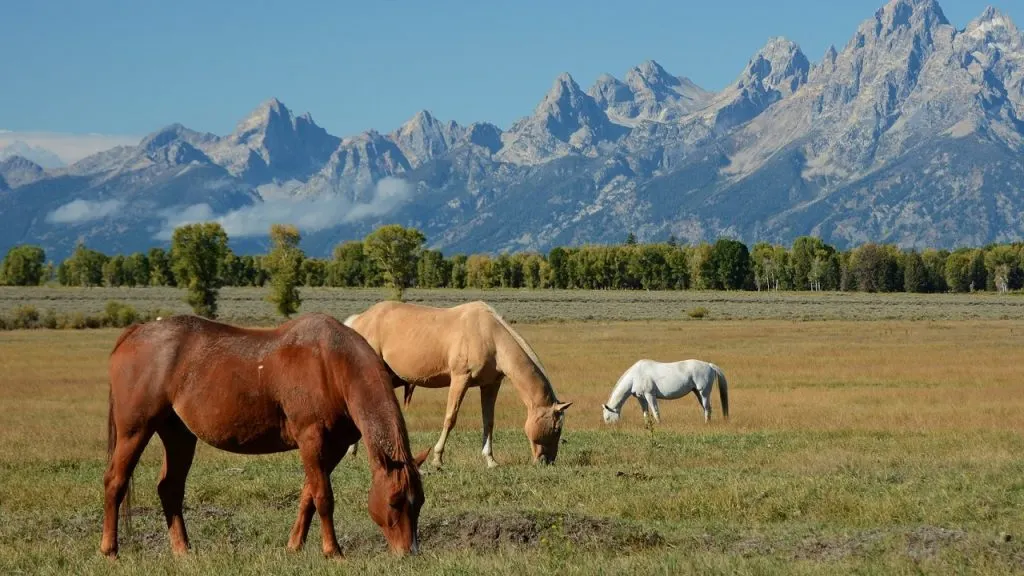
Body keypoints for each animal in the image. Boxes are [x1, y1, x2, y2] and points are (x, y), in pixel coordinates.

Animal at [99, 311, 428, 557]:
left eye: (420, 501)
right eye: (394, 501)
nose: (408, 552)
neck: (332, 365)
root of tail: (136, 331)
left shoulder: (333, 447)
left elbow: (308, 495)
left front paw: (295, 546)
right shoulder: (311, 439)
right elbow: (323, 497)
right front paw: (333, 551)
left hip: (178, 435)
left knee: (170, 488)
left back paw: (182, 550)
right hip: (135, 430)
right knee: (115, 481)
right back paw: (110, 549)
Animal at [342, 301, 569, 467]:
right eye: (556, 428)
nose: (547, 461)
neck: (490, 335)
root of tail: (358, 319)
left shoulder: (490, 385)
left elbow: (488, 421)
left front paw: (490, 460)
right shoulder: (460, 379)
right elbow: (450, 418)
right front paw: (437, 458)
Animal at [598, 356, 729, 424]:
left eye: (607, 417)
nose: (611, 427)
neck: (635, 375)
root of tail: (709, 365)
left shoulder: (650, 395)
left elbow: (655, 411)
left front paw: (658, 424)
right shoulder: (641, 398)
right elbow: (645, 413)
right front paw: (647, 425)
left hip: (704, 392)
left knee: (707, 408)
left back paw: (706, 423)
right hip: (697, 392)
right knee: (707, 408)